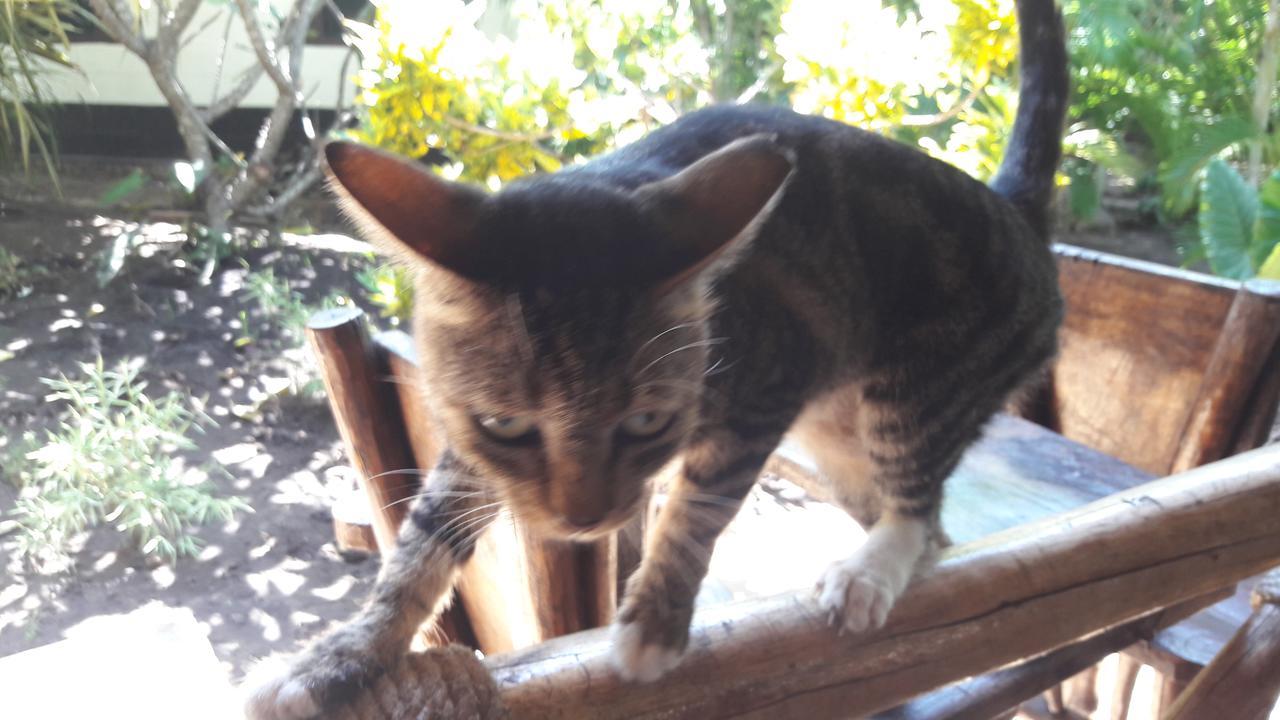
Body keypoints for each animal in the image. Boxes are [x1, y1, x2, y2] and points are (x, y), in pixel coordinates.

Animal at [244, 1, 1064, 712]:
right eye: (508, 426)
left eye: (645, 422)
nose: (582, 520)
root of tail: (1016, 214)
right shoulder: (472, 439)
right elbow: (426, 533)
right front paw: (346, 653)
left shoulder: (771, 375)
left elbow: (699, 505)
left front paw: (655, 619)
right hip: (837, 435)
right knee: (926, 524)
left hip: (921, 389)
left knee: (916, 502)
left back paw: (873, 568)